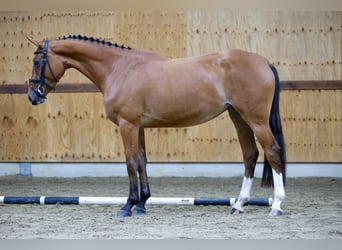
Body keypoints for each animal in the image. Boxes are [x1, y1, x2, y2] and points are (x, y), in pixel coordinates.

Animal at [27, 35, 286, 217]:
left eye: (38, 61)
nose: (33, 96)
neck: (119, 68)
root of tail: (265, 62)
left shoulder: (128, 125)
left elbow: (131, 163)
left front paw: (128, 205)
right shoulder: (138, 127)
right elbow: (142, 161)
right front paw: (142, 203)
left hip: (256, 120)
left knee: (272, 152)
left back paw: (276, 205)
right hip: (239, 118)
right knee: (250, 155)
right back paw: (239, 204)